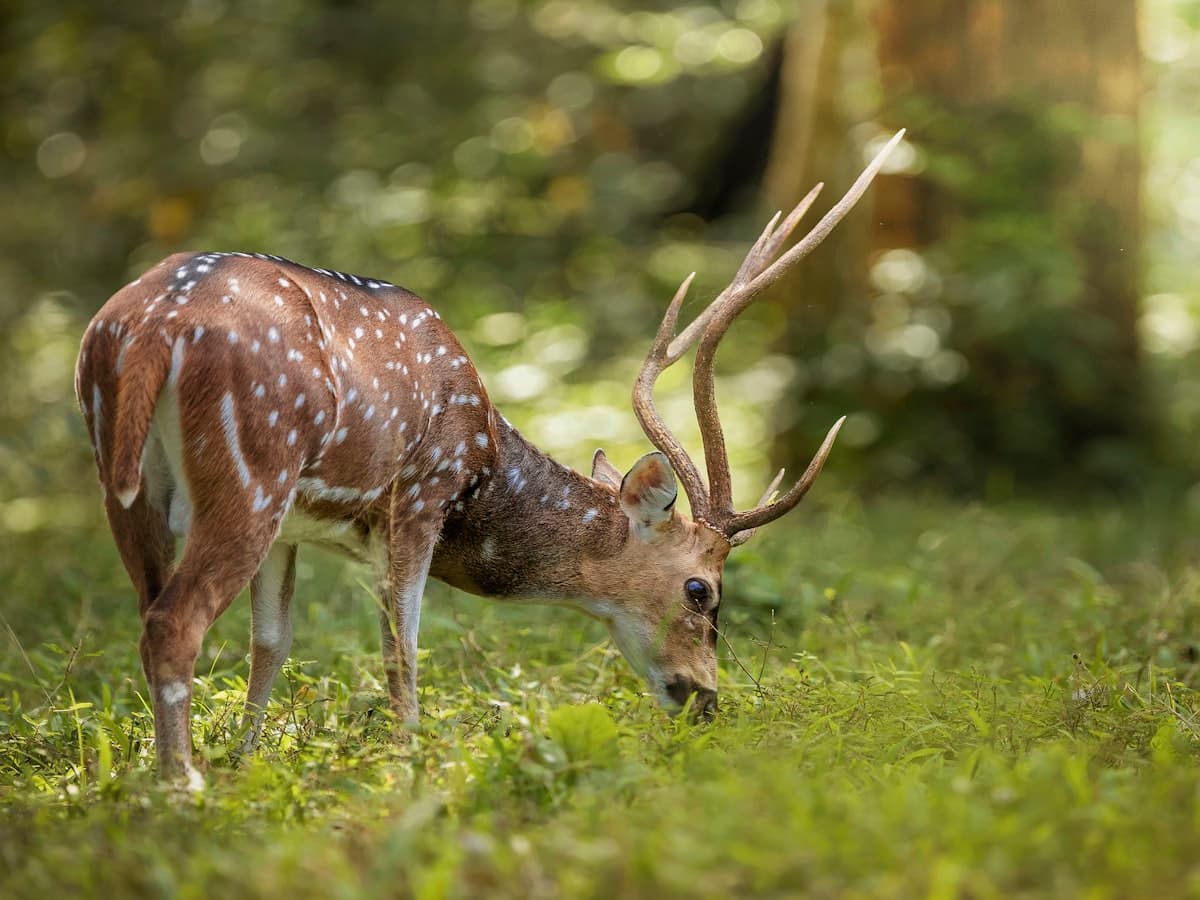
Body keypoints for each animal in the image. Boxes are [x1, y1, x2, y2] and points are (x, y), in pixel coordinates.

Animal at [74, 131, 902, 786]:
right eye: (702, 591)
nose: (705, 699)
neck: (485, 463)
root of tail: (148, 328)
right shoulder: (420, 491)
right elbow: (402, 647)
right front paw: (408, 763)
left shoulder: (297, 527)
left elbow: (271, 644)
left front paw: (247, 765)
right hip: (252, 468)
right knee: (174, 621)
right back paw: (180, 787)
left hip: (131, 483)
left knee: (150, 610)